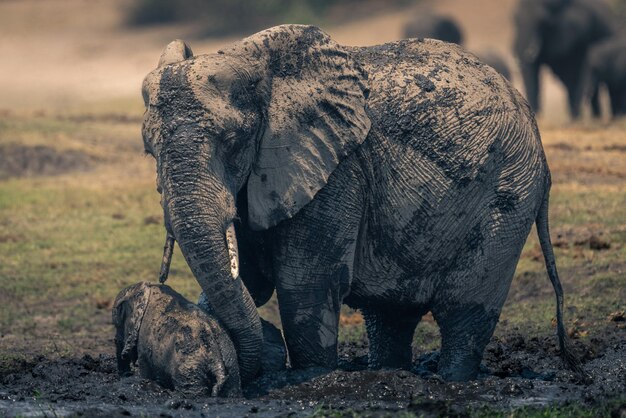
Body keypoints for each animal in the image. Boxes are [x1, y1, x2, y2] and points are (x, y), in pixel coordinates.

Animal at [111, 282, 240, 396]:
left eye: (116, 323)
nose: (126, 374)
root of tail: (218, 364)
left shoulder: (144, 347)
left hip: (189, 366)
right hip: (231, 365)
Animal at [140, 22, 576, 382]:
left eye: (233, 142)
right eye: (149, 150)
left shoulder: (337, 171)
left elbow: (305, 285)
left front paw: (310, 377)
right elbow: (246, 278)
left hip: (509, 192)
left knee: (463, 311)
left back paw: (451, 380)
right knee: (391, 316)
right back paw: (389, 373)